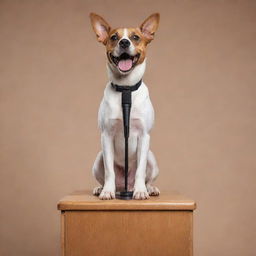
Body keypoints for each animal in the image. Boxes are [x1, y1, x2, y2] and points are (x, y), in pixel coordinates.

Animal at [90, 12, 160, 200]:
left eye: (135, 37)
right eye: (114, 37)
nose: (124, 42)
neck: (126, 89)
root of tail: (124, 186)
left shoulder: (144, 136)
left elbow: (141, 170)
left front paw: (140, 191)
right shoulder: (106, 136)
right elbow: (109, 172)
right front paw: (107, 191)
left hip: (152, 158)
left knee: (147, 177)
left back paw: (149, 189)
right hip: (98, 159)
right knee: (106, 176)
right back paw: (101, 188)